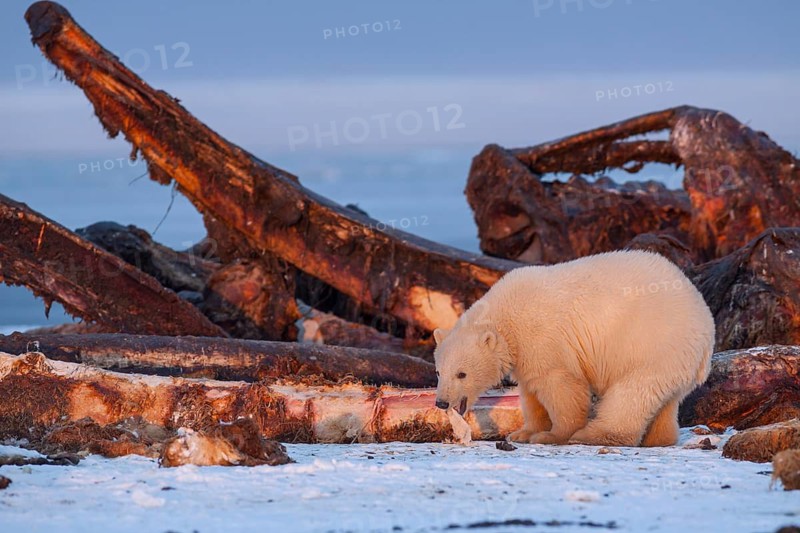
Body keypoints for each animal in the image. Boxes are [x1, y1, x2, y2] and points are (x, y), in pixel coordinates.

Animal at [433, 250, 714, 447]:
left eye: (462, 374)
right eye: (439, 372)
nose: (441, 402)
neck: (505, 316)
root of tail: (706, 325)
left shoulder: (544, 338)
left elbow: (561, 386)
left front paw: (551, 435)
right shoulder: (525, 352)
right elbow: (531, 392)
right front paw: (523, 433)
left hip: (652, 344)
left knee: (631, 394)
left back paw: (593, 434)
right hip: (673, 358)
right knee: (665, 402)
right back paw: (659, 439)